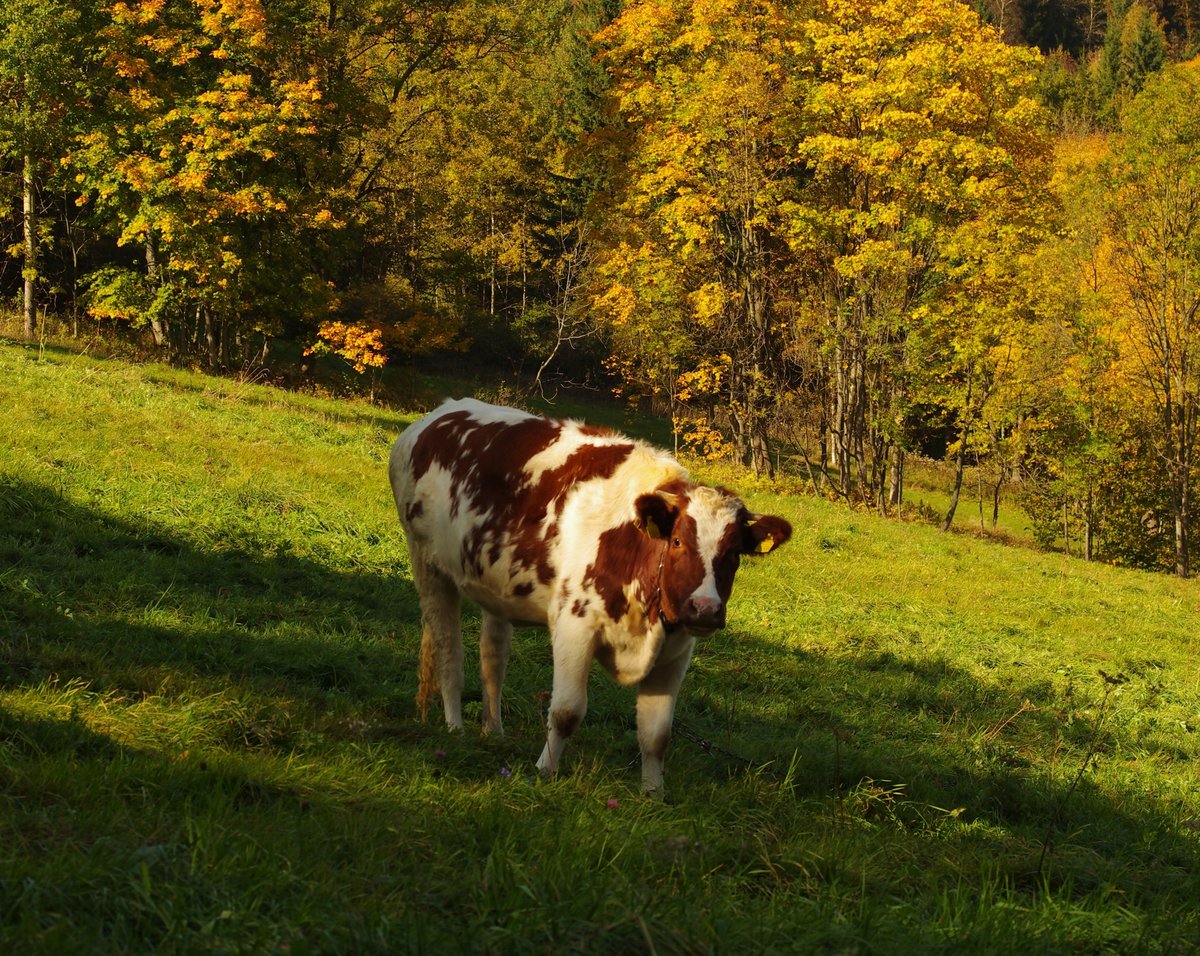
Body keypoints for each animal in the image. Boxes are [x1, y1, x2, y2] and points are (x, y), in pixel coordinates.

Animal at [389, 398, 791, 795]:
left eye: (735, 553)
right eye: (677, 541)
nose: (705, 609)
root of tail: (439, 414)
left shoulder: (677, 650)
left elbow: (657, 733)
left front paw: (653, 795)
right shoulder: (574, 626)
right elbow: (566, 711)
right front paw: (545, 771)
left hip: (495, 586)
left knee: (493, 657)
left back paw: (494, 731)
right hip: (428, 564)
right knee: (448, 650)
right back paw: (455, 727)